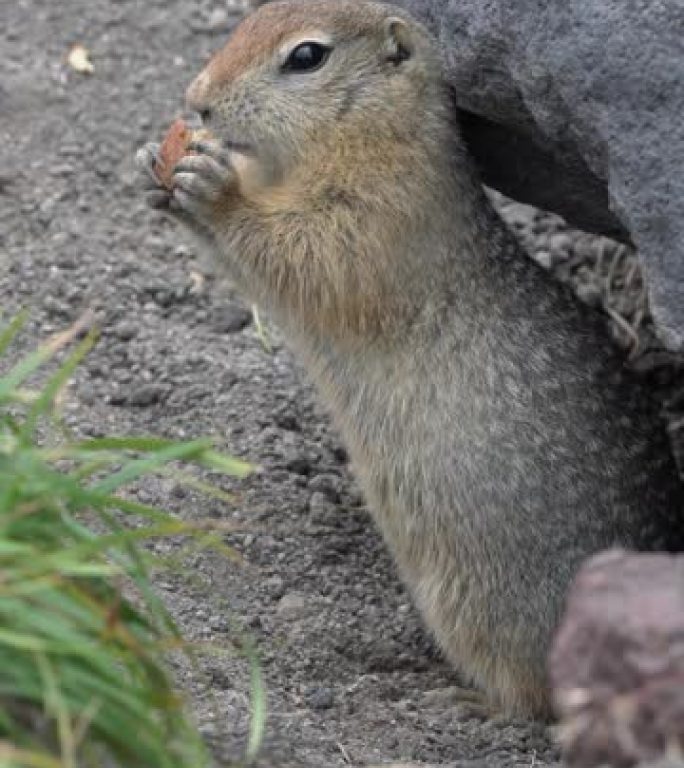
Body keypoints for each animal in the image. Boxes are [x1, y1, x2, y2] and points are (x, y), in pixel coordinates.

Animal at [136, 0, 684, 720]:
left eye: (306, 56)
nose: (197, 100)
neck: (365, 129)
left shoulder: (385, 204)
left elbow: (312, 252)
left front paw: (212, 185)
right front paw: (155, 162)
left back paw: (468, 699)